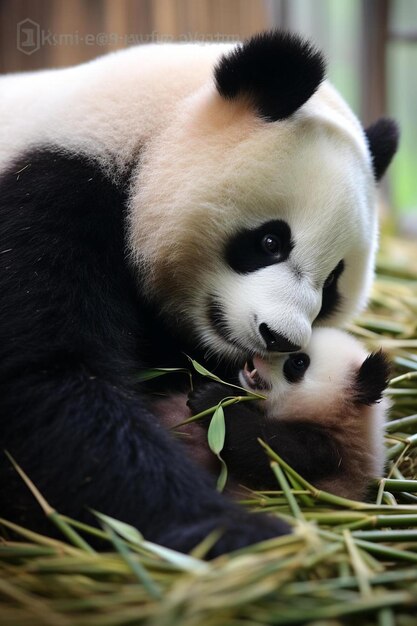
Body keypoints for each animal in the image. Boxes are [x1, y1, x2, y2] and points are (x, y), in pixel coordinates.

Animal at [0, 31, 396, 552]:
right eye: (271, 241)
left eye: (331, 285)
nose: (280, 337)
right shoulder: (46, 196)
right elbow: (47, 381)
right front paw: (230, 529)